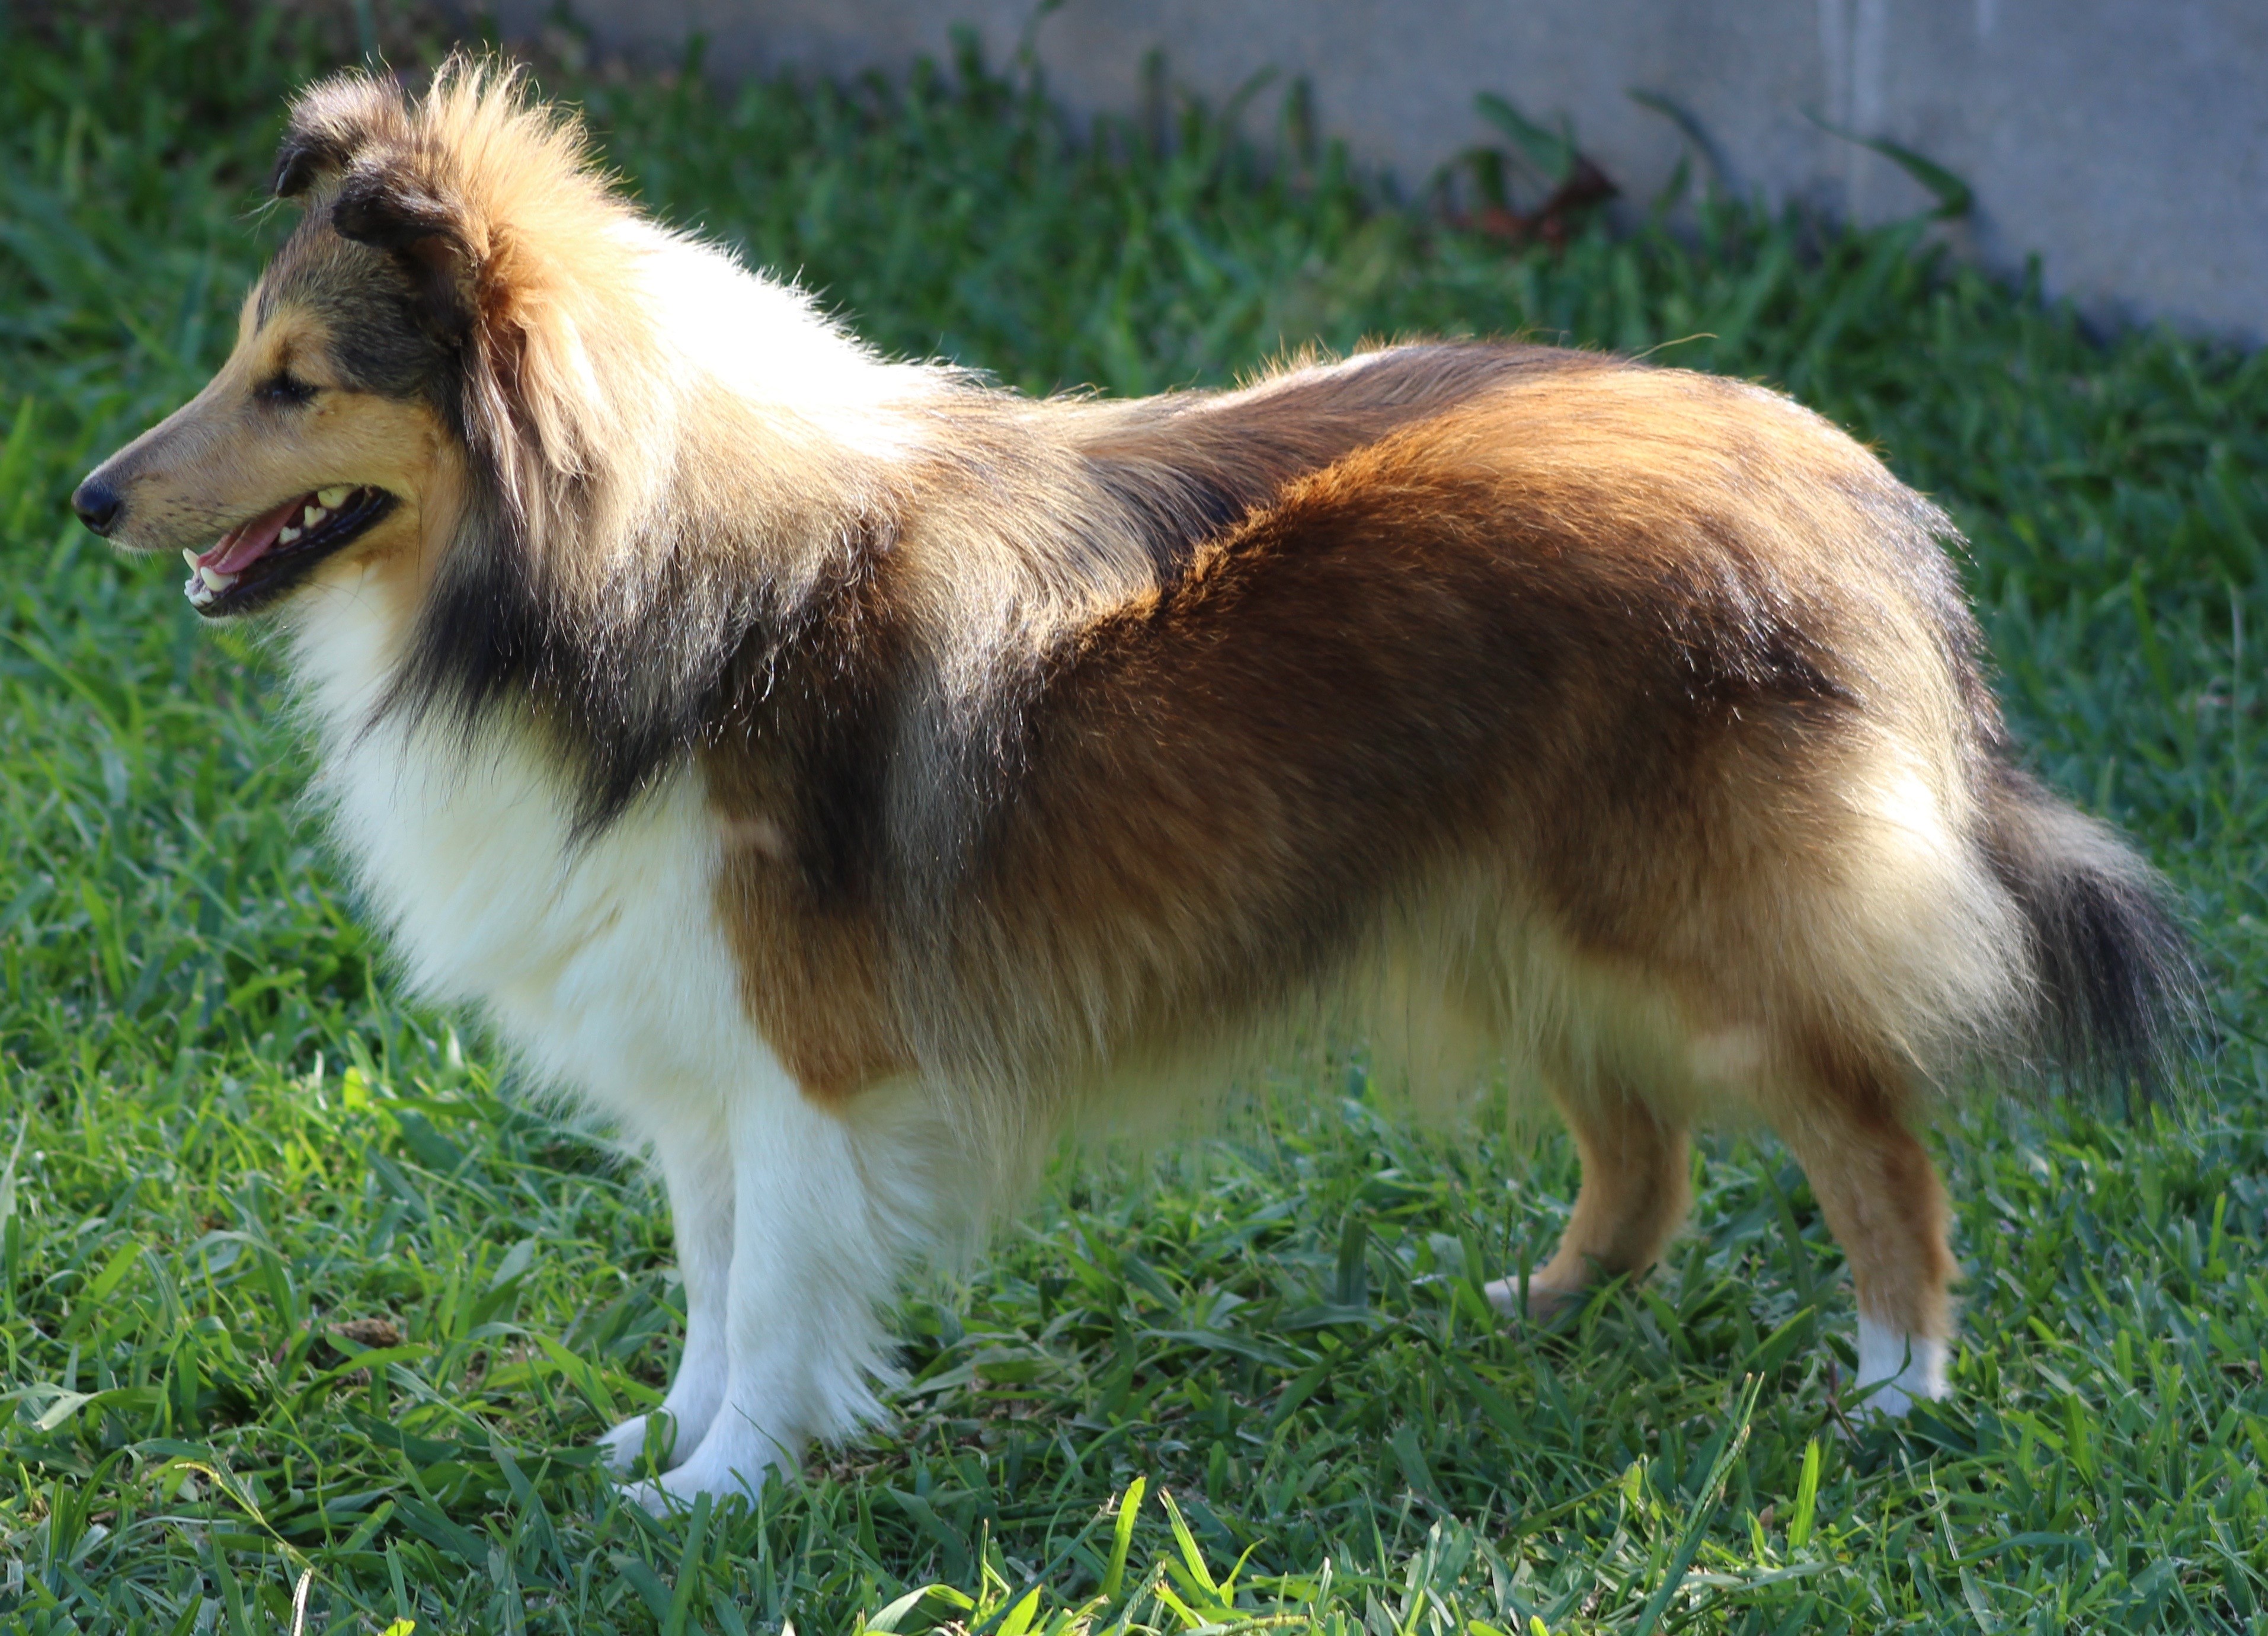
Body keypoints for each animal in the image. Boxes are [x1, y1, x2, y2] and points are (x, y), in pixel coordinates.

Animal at [74, 61, 2194, 1505]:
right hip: (1503, 911)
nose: (90, 496)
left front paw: (719, 1491)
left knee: (1872, 1135)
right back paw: (1540, 1310)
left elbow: (774, 1295)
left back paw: (1896, 1389)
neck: (615, 566)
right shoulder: (698, 1043)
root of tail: (1848, 483)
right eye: (244, 357)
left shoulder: (804, 1058)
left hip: (1691, 928)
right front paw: (657, 1445)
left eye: (295, 381)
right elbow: (710, 1275)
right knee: (1646, 1147)